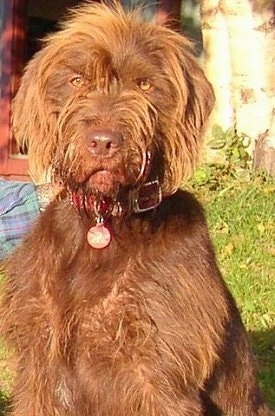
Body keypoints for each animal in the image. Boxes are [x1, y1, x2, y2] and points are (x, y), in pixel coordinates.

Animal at [0, 3, 274, 416]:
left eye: (144, 85)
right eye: (77, 80)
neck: (106, 221)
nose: (103, 142)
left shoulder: (156, 374)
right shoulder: (41, 367)